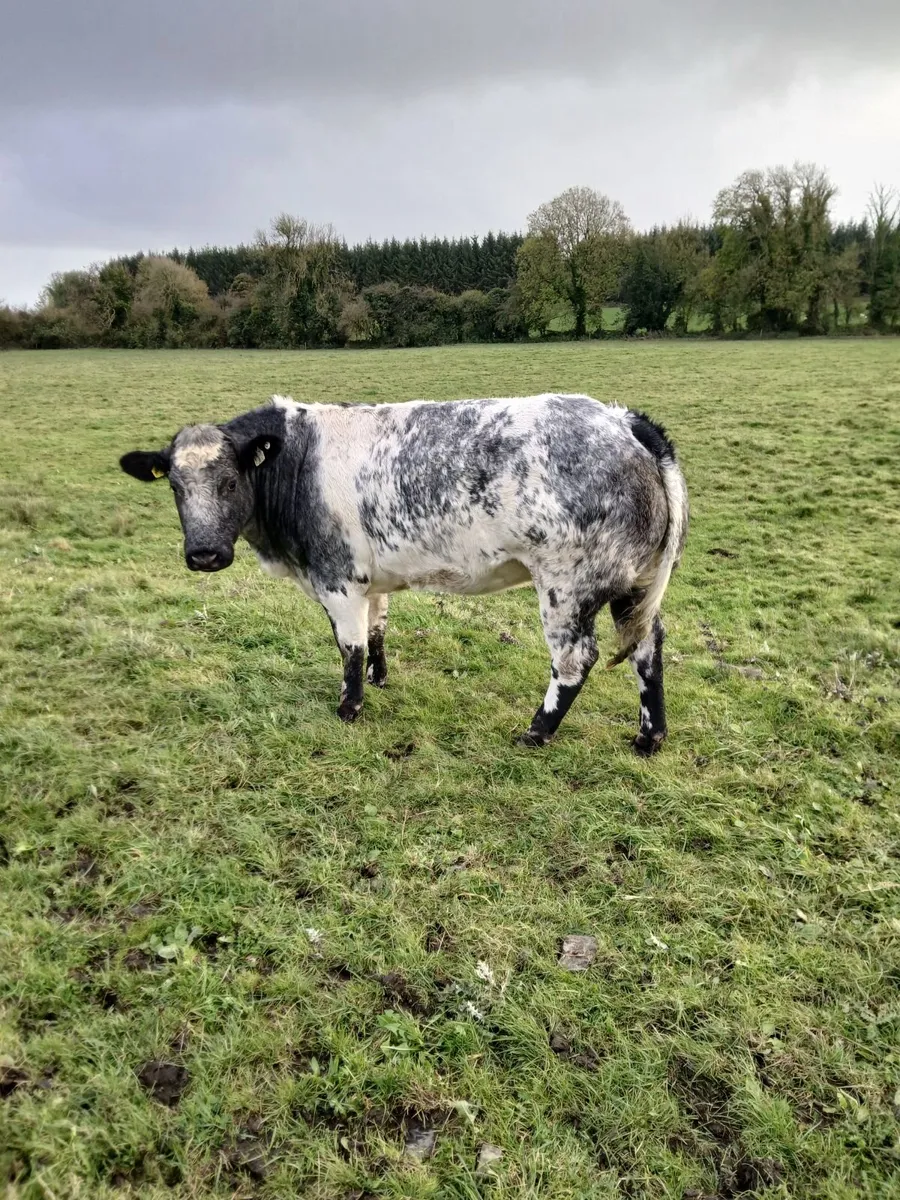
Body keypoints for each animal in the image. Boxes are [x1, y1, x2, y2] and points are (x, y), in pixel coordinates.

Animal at [119, 392, 688, 753]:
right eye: (174, 486)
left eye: (232, 481)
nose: (204, 555)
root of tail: (623, 421)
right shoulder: (373, 580)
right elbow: (376, 631)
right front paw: (380, 677)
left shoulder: (337, 577)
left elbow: (348, 646)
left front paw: (349, 707)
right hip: (633, 584)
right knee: (647, 646)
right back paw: (649, 737)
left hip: (567, 586)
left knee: (574, 660)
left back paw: (536, 732)